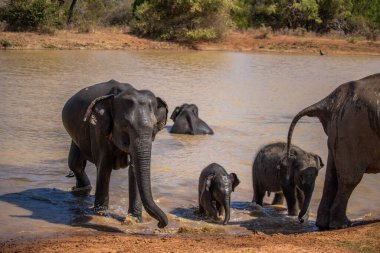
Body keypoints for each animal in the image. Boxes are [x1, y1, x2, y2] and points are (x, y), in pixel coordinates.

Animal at [61, 80, 168, 228]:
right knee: (75, 163)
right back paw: (81, 190)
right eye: (126, 125)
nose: (159, 224)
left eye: (154, 126)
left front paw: (135, 220)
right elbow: (104, 167)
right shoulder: (99, 129)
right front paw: (100, 214)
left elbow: (134, 169)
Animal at [286, 73, 380, 229]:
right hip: (352, 130)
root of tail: (332, 100)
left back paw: (323, 224)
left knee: (332, 176)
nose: (301, 219)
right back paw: (342, 224)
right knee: (350, 179)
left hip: (338, 130)